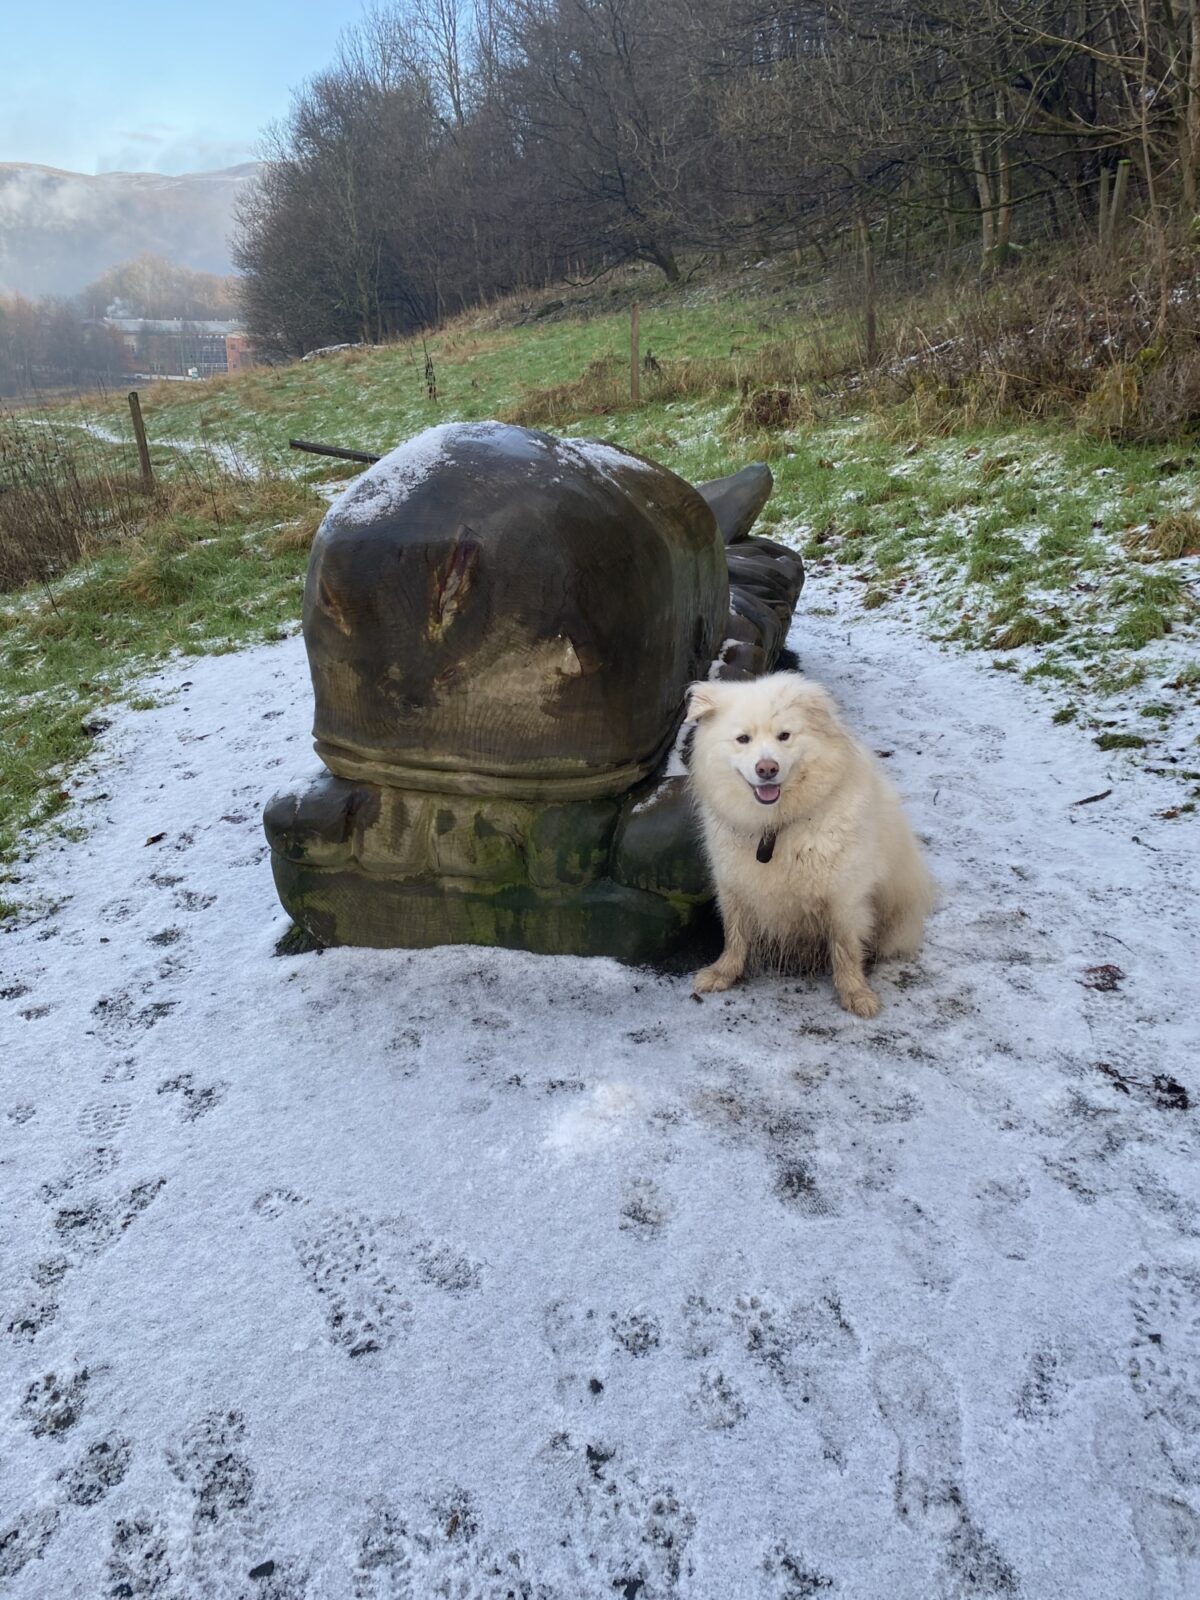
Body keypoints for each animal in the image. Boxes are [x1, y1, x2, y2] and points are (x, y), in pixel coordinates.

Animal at [684, 672, 940, 1017]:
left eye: (784, 736)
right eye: (743, 739)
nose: (767, 769)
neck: (774, 828)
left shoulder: (844, 896)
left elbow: (846, 948)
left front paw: (856, 994)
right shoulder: (734, 885)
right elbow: (735, 935)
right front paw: (723, 973)